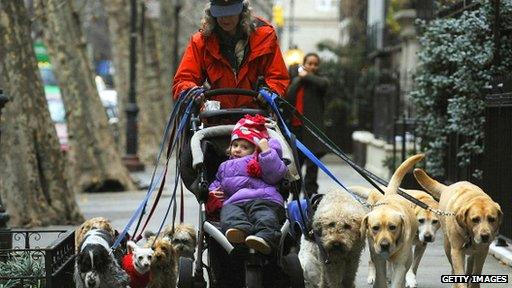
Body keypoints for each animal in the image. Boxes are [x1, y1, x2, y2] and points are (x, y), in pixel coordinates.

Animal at [358, 154, 422, 286]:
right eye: (375, 228)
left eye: (393, 227)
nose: (384, 245)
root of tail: (390, 193)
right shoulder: (378, 260)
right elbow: (381, 277)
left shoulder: (400, 264)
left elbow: (397, 280)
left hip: (408, 257)